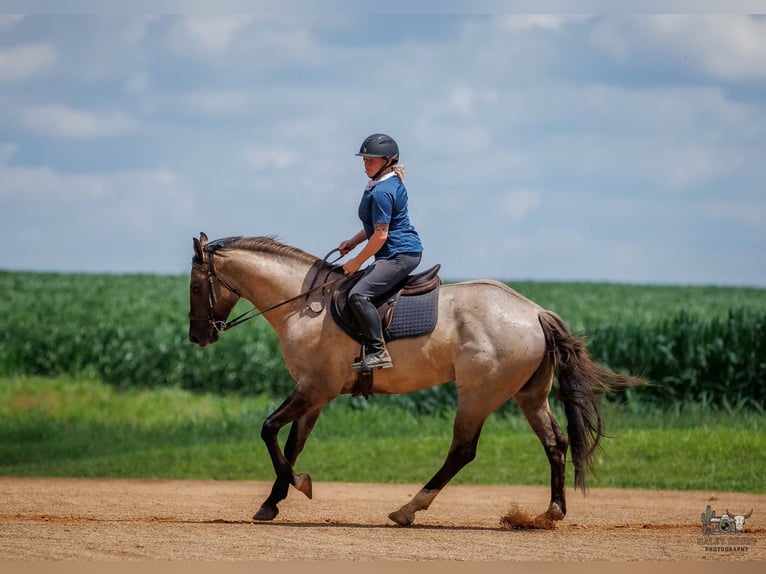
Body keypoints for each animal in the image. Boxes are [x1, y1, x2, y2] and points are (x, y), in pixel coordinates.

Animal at [188, 232, 644, 526]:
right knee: (555, 443)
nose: (198, 337)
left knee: (462, 451)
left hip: (478, 394)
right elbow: (291, 444)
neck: (305, 304)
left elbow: (269, 431)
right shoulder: (315, 394)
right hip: (530, 396)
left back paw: (408, 509)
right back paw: (551, 513)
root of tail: (534, 311)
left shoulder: (315, 387)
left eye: (194, 286)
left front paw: (298, 485)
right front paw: (273, 502)